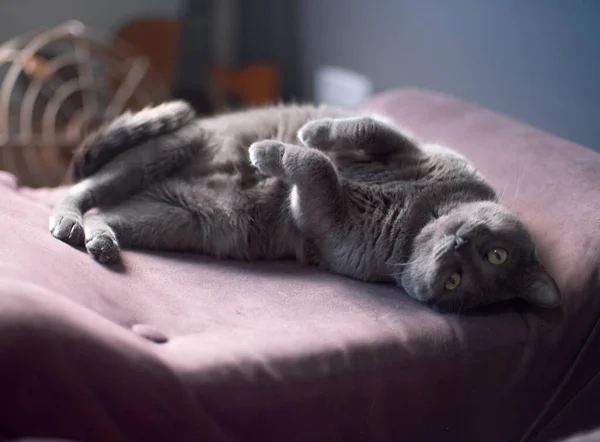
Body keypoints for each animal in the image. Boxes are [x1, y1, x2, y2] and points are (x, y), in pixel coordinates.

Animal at [48, 101, 564, 310]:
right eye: (496, 251)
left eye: (458, 280)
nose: (458, 243)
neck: (420, 213)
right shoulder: (413, 148)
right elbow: (365, 129)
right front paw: (311, 132)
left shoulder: (327, 225)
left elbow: (317, 172)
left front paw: (272, 154)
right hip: (164, 151)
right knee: (80, 190)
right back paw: (73, 225)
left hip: (171, 216)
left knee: (101, 211)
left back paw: (97, 241)